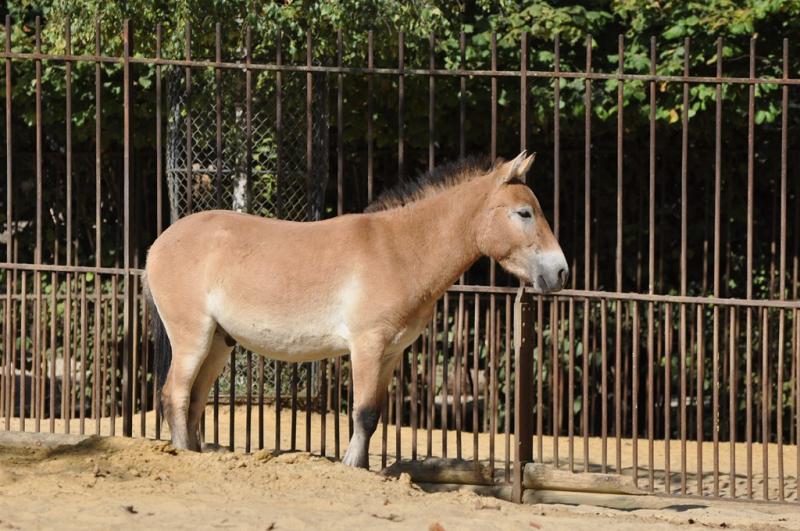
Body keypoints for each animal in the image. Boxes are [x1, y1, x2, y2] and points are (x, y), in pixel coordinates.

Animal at [144, 151, 568, 468]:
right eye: (524, 213)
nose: (560, 272)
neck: (401, 250)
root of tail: (159, 244)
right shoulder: (367, 346)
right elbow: (362, 413)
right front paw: (352, 468)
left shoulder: (391, 353)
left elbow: (374, 416)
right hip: (193, 337)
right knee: (175, 395)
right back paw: (182, 455)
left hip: (219, 342)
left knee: (193, 401)